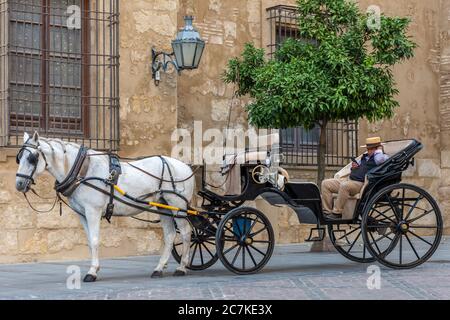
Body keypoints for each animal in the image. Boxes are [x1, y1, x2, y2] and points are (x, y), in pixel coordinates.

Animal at [13, 131, 193, 282]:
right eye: (19, 158)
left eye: (32, 158)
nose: (19, 184)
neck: (83, 171)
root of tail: (186, 166)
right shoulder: (82, 214)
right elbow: (89, 241)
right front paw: (94, 268)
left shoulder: (93, 211)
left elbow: (94, 240)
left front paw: (92, 272)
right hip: (164, 206)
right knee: (170, 235)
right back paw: (159, 268)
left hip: (178, 206)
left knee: (185, 232)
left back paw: (182, 267)